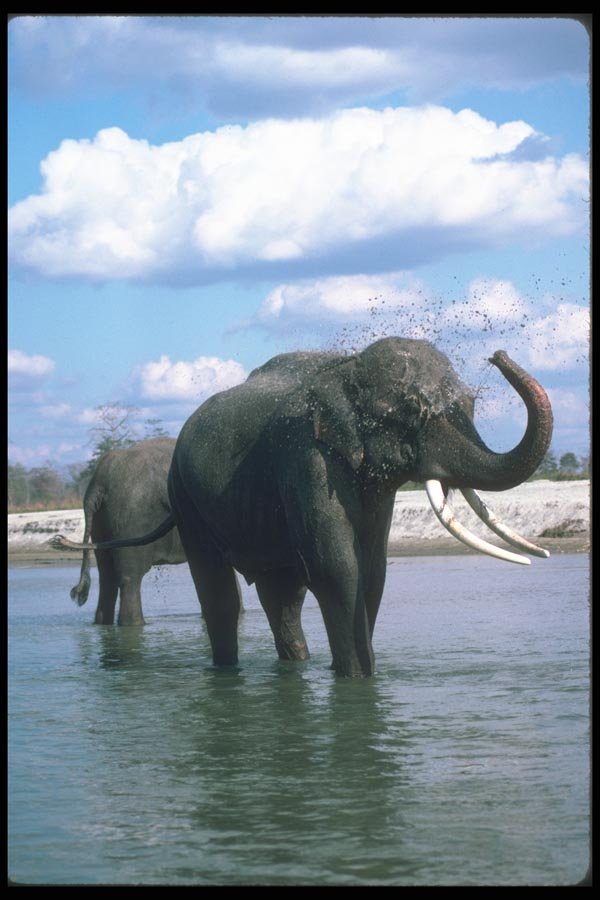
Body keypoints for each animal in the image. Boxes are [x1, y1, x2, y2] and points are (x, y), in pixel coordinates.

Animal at [69, 437, 187, 625]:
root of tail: (99, 483)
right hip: (131, 518)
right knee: (130, 579)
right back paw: (134, 624)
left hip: (100, 523)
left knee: (107, 577)